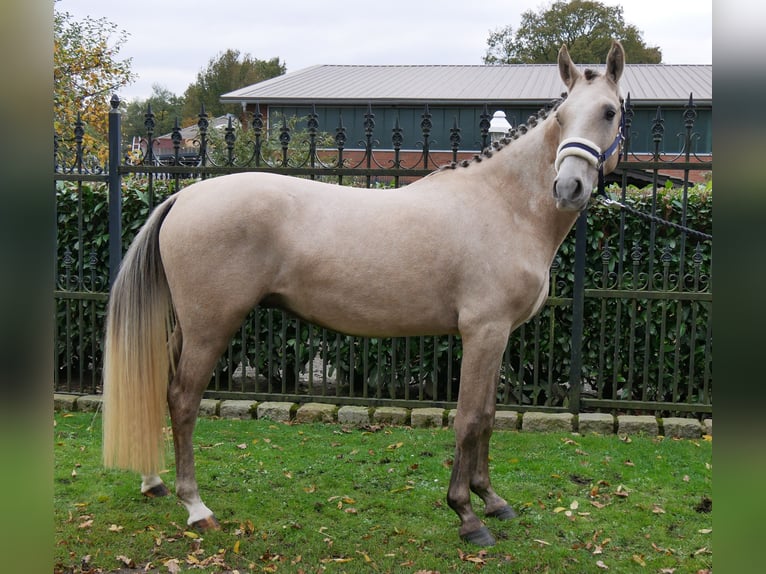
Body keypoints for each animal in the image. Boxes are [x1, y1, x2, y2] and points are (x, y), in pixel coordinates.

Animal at [102, 41, 628, 548]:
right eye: (561, 117)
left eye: (609, 112)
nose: (568, 187)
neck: (503, 204)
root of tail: (184, 196)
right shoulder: (483, 332)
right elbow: (468, 418)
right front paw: (467, 515)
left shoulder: (497, 337)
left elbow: (488, 416)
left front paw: (492, 499)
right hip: (210, 327)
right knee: (182, 399)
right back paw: (196, 507)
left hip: (185, 328)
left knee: (158, 384)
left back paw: (153, 482)